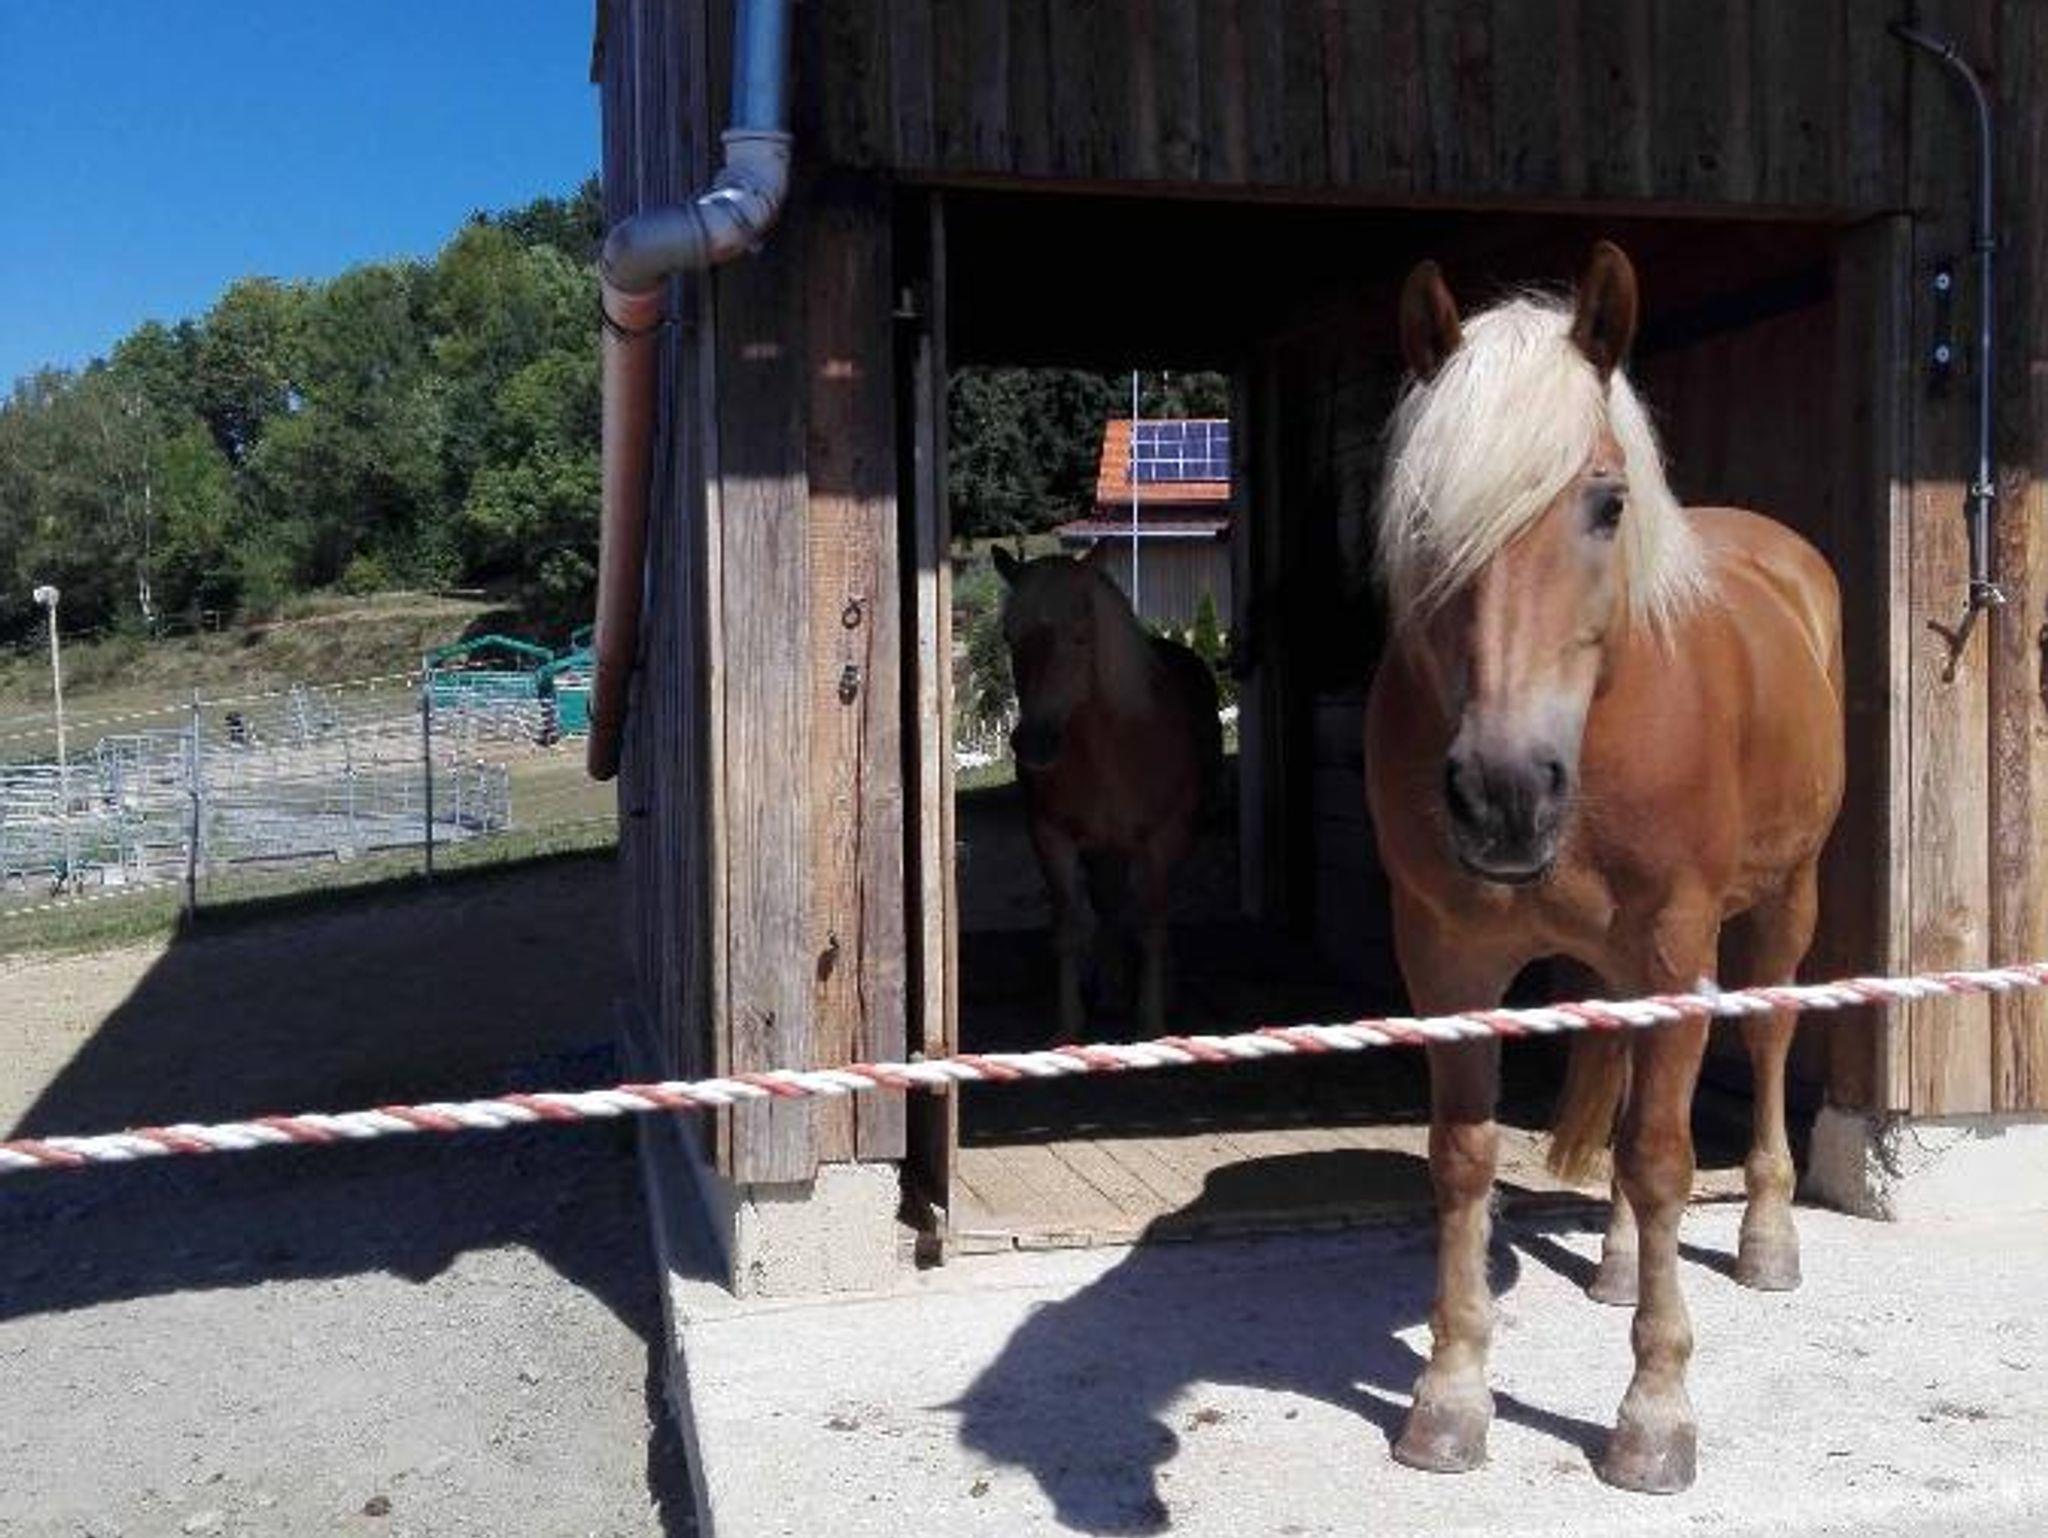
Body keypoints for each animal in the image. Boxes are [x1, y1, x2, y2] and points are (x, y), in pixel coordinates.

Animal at [993, 544, 1222, 1043]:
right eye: (1008, 637)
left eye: (1081, 636)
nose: (1034, 743)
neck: (1113, 747)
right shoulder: (1051, 838)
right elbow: (1070, 927)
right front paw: (1068, 1029)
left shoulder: (1163, 840)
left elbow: (1152, 924)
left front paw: (1152, 1023)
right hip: (1105, 848)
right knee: (1110, 904)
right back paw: (1114, 990)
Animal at [1363, 242, 1845, 1493]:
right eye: (1425, 519)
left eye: (1605, 503)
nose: (1501, 791)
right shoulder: (1444, 960)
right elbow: (1462, 1159)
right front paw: (1447, 1397)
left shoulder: (1677, 945)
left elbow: (1666, 1156)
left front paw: (1652, 1412)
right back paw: (1622, 1261)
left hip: (1779, 904)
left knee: (1763, 1044)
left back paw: (1766, 1237)